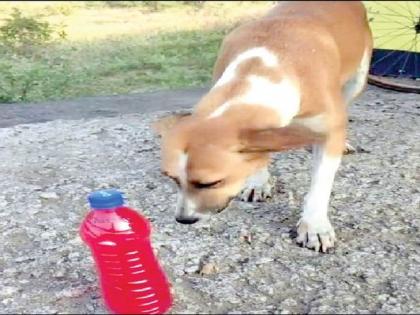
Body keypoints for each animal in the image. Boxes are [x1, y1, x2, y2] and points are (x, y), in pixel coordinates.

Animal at [153, 1, 370, 253]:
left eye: (211, 183)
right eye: (172, 178)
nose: (184, 219)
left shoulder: (327, 130)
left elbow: (320, 183)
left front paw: (315, 225)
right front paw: (258, 181)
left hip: (357, 80)